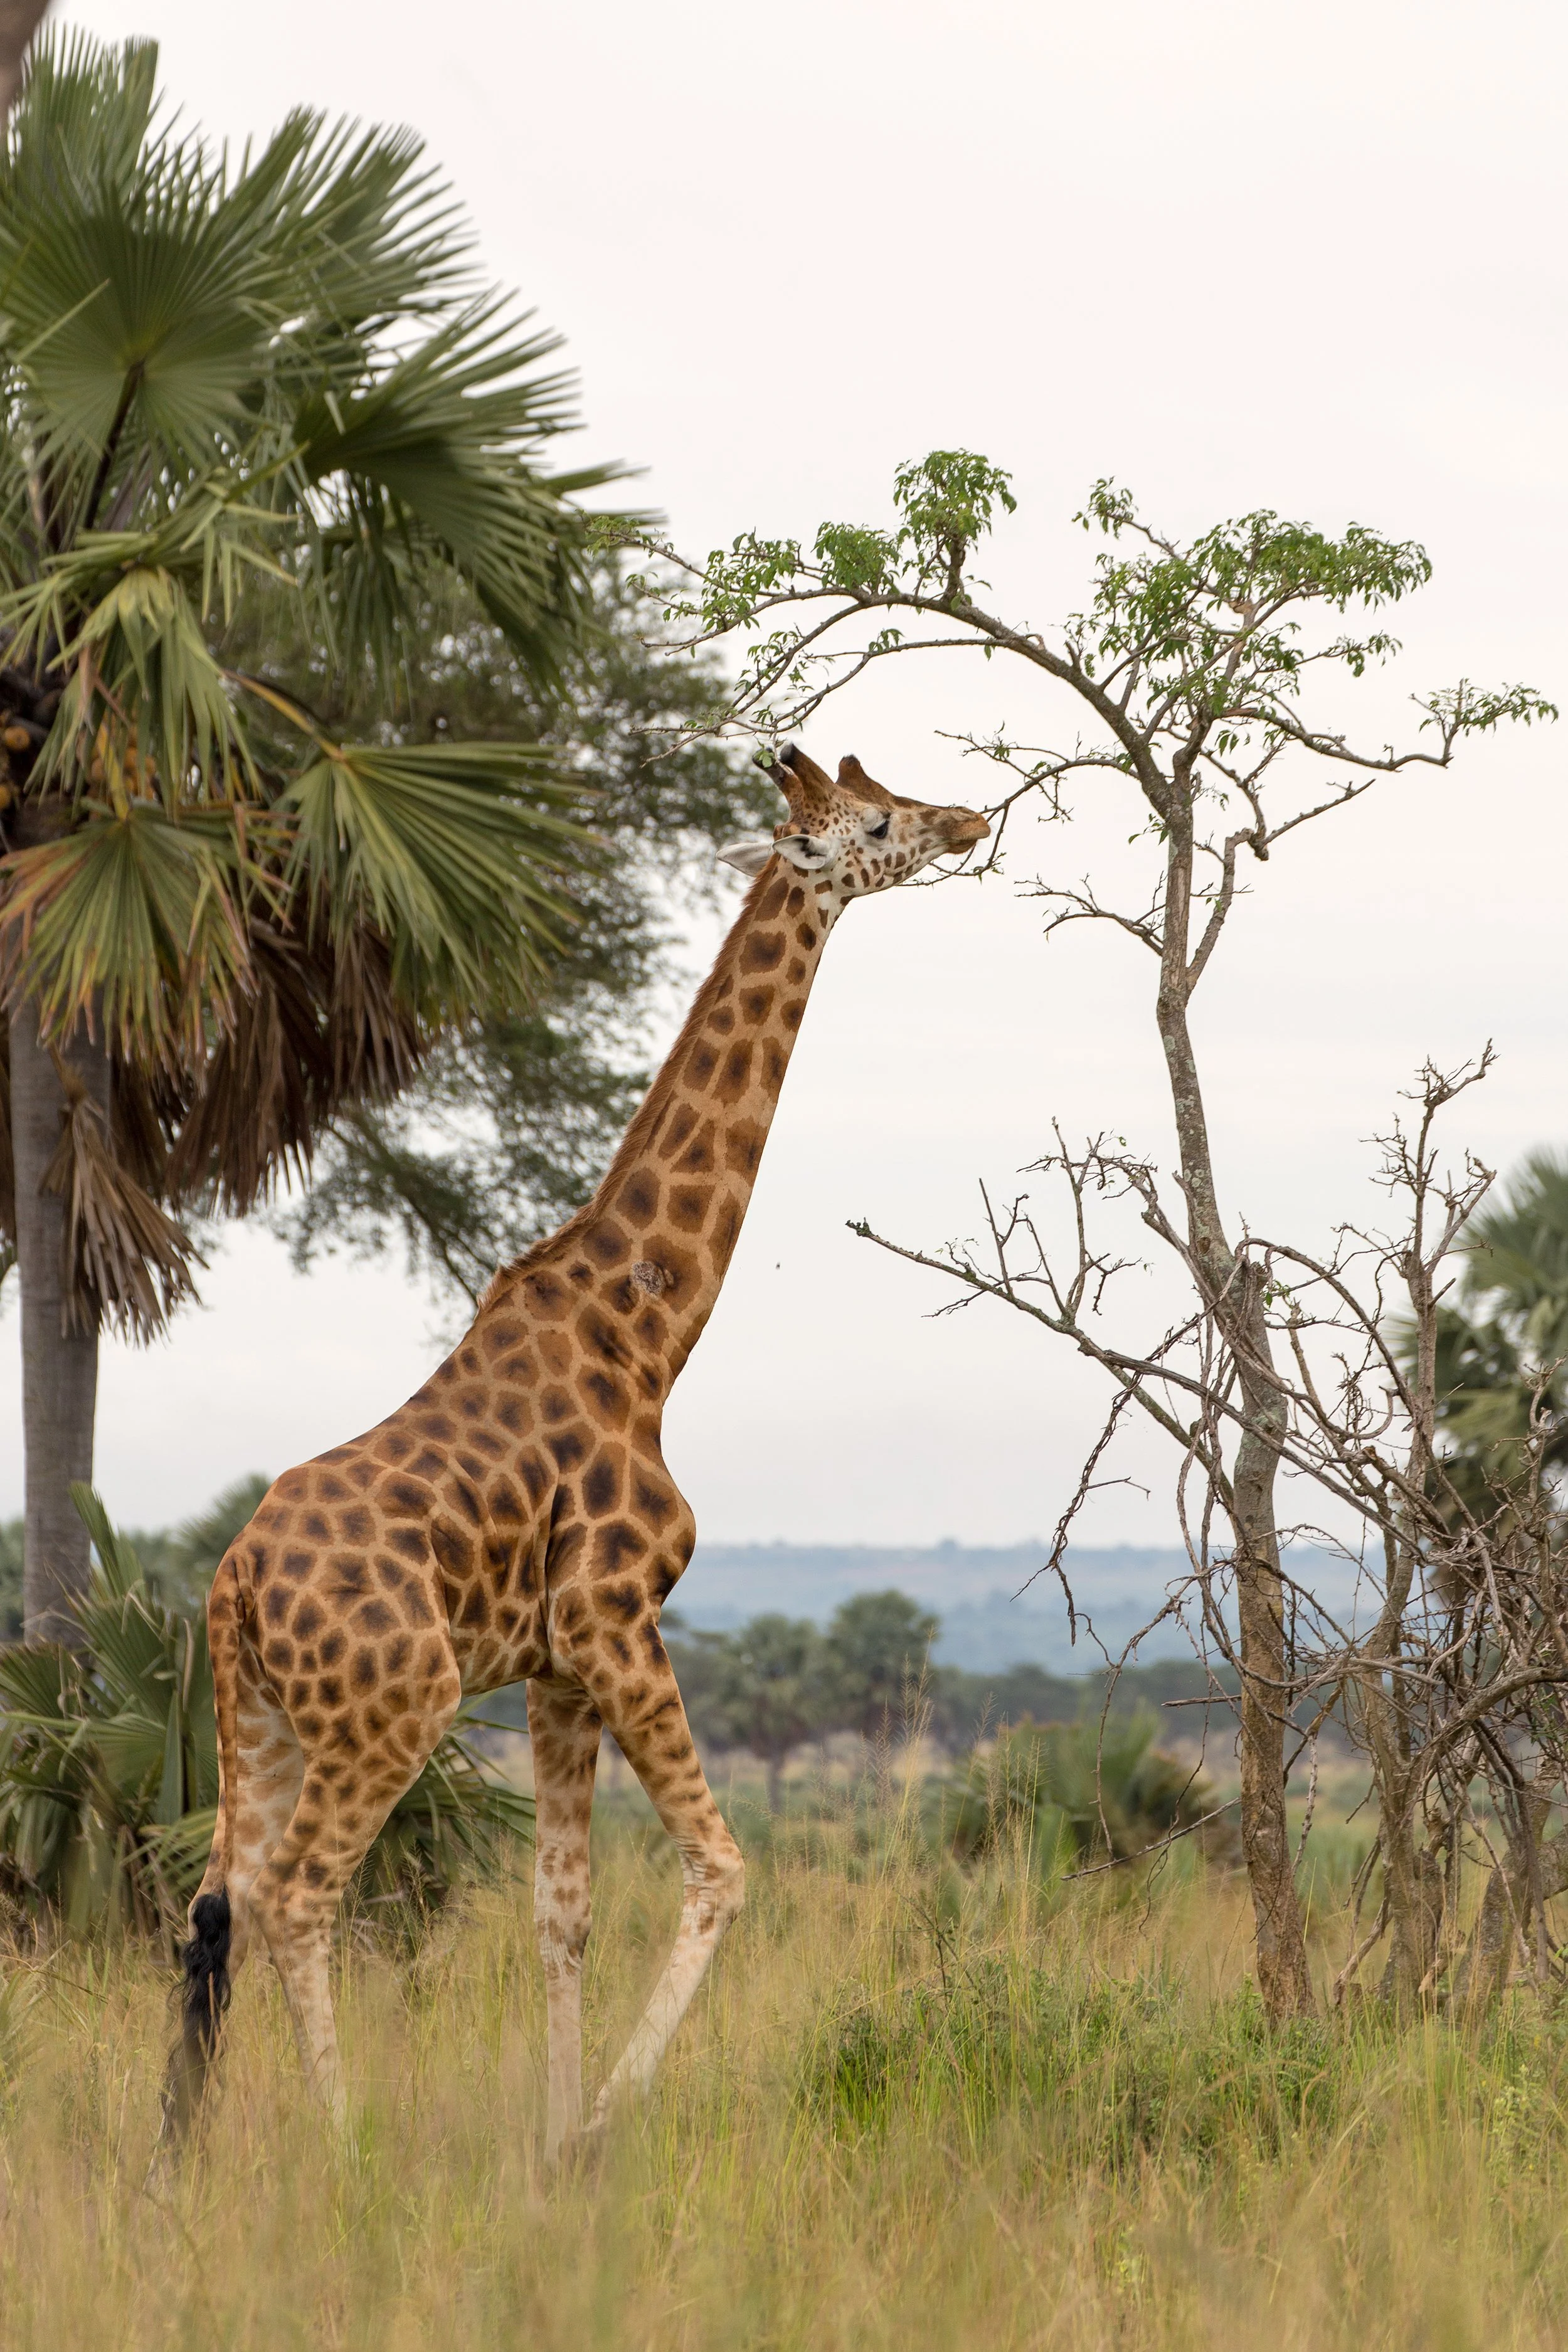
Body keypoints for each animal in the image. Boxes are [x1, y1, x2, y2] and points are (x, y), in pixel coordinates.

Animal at [165, 741, 988, 2161]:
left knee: (216, 1906)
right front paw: (599, 2126)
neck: (646, 1333)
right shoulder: (614, 1616)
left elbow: (562, 1913)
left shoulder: (552, 1667)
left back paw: (187, 2152)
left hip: (257, 1721)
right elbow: (721, 1868)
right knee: (296, 1896)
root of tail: (234, 1588)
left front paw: (550, 2143)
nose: (971, 818)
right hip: (395, 1708)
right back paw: (342, 2139)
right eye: (877, 823)